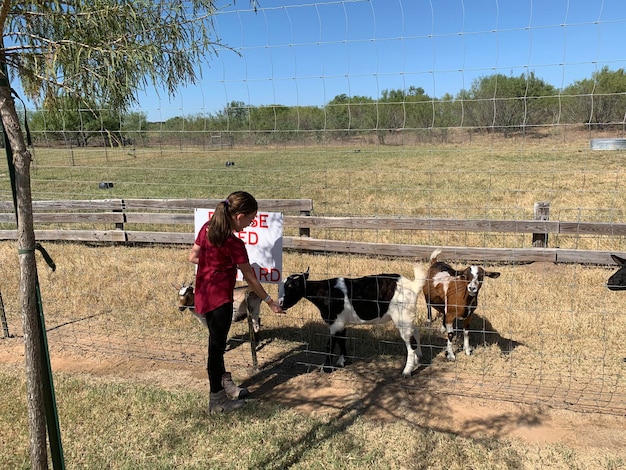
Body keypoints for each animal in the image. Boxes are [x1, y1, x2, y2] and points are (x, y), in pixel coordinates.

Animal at [276, 264, 424, 378]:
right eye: (279, 287)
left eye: (291, 287)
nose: (280, 304)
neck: (326, 292)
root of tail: (413, 286)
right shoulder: (341, 322)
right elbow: (342, 340)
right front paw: (341, 362)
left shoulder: (335, 322)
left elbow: (330, 344)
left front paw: (326, 368)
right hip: (408, 316)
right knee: (415, 333)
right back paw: (418, 359)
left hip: (402, 317)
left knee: (410, 342)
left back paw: (407, 371)